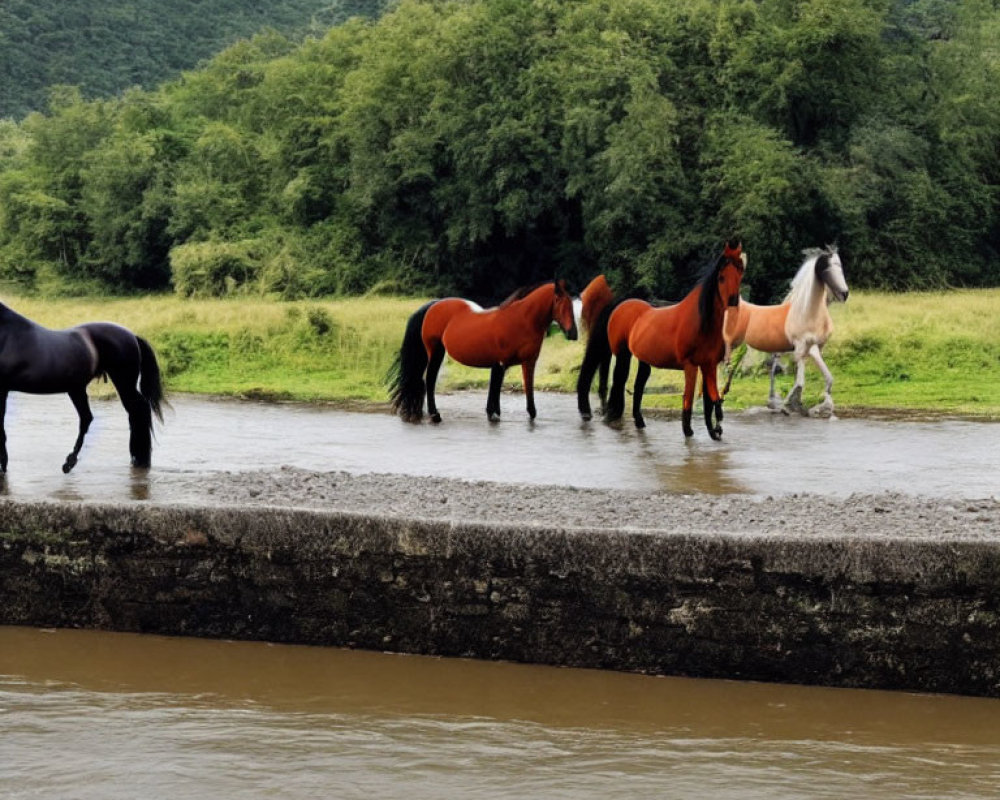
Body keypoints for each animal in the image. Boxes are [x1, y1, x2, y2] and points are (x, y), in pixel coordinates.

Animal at [388, 278, 580, 422]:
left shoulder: (527, 363)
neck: (520, 321)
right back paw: (435, 414)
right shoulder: (500, 364)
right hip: (435, 351)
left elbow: (526, 395)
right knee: (430, 380)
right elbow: (495, 391)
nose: (573, 333)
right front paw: (493, 415)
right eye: (559, 301)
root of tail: (433, 305)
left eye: (572, 304)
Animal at [600, 244, 744, 444]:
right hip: (623, 355)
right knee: (620, 381)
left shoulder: (709, 365)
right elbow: (688, 398)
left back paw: (639, 421)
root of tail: (621, 307)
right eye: (721, 277)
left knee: (638, 386)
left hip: (643, 358)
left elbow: (710, 400)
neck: (701, 323)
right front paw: (689, 431)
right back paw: (612, 416)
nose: (733, 302)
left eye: (740, 273)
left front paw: (714, 431)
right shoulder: (691, 365)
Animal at [724, 247, 848, 416]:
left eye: (840, 267)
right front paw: (788, 405)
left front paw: (821, 406)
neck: (807, 312)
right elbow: (800, 382)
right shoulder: (802, 347)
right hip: (733, 345)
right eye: (828, 268)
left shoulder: (814, 348)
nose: (845, 294)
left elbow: (827, 378)